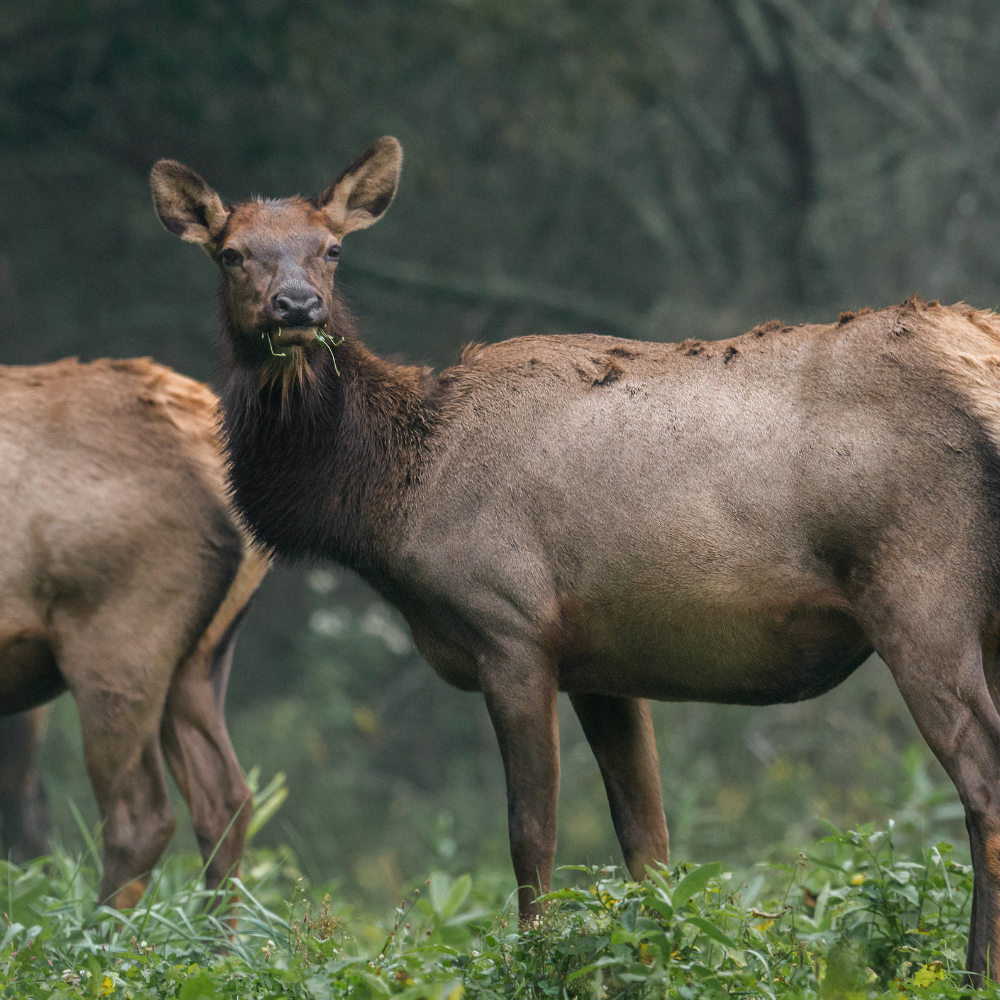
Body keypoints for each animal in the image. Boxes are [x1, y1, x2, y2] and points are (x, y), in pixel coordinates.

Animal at [152, 136, 1000, 976]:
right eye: (232, 253)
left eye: (331, 249)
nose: (298, 308)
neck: (389, 494)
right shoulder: (603, 661)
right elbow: (648, 845)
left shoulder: (511, 626)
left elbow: (530, 835)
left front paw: (534, 956)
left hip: (918, 590)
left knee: (983, 782)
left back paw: (972, 972)